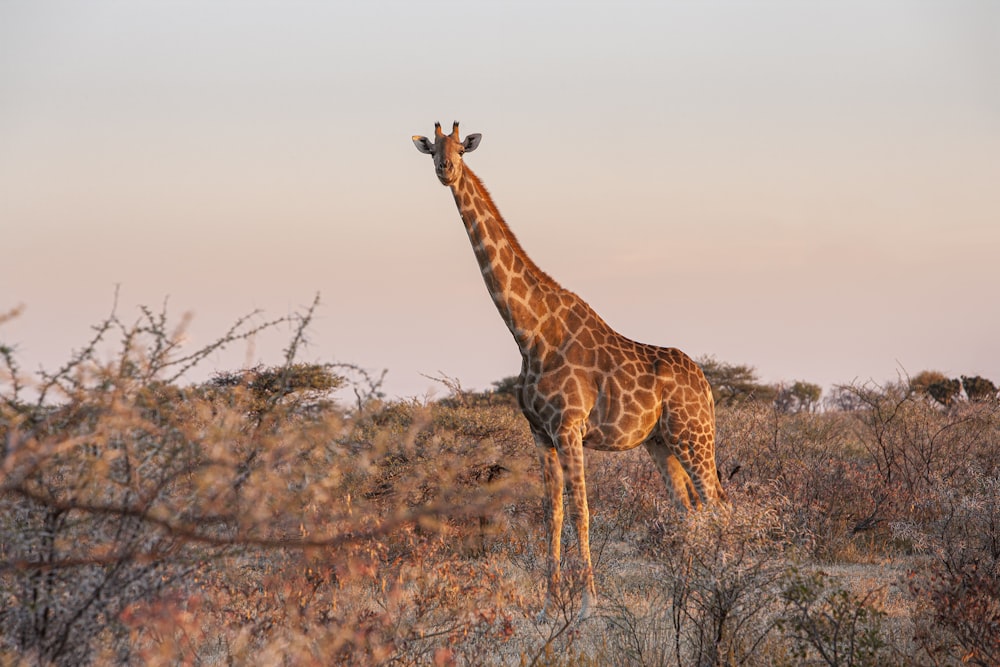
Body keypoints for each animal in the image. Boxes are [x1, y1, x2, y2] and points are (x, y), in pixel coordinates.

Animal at [410, 121, 724, 620]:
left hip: (694, 436)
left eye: (460, 147)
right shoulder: (540, 432)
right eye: (432, 149)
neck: (530, 332)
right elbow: (551, 511)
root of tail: (707, 385)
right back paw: (690, 593)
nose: (446, 169)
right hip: (660, 442)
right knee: (689, 508)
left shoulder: (570, 427)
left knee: (717, 505)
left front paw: (587, 604)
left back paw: (723, 584)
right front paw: (548, 603)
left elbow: (581, 510)